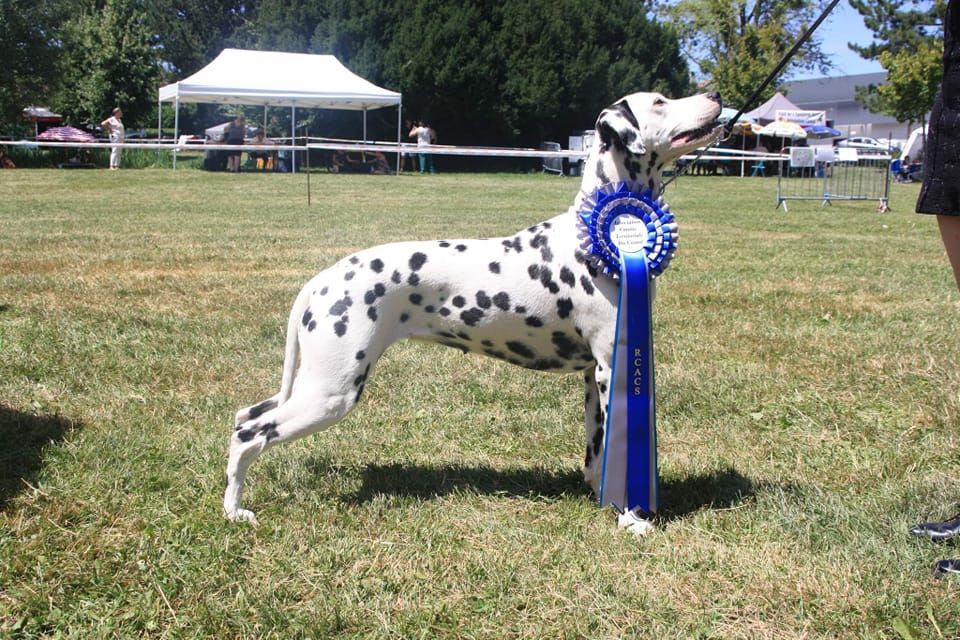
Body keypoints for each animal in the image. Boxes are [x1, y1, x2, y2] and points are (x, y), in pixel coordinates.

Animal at [225, 89, 720, 528]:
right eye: (660, 101)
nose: (715, 96)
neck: (601, 234)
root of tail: (322, 280)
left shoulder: (592, 375)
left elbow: (598, 448)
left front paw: (604, 495)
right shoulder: (611, 365)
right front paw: (631, 517)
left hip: (311, 386)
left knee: (244, 416)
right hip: (330, 392)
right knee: (247, 435)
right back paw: (235, 511)